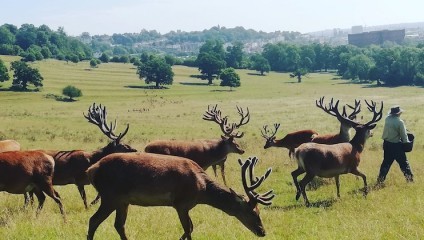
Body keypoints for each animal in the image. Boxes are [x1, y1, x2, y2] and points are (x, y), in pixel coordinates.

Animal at [86, 155, 274, 239]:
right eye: (254, 212)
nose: (262, 232)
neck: (201, 189)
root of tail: (92, 169)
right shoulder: (181, 203)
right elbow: (188, 229)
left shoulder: (186, 206)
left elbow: (189, 228)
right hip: (110, 196)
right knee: (93, 220)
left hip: (122, 201)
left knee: (119, 225)